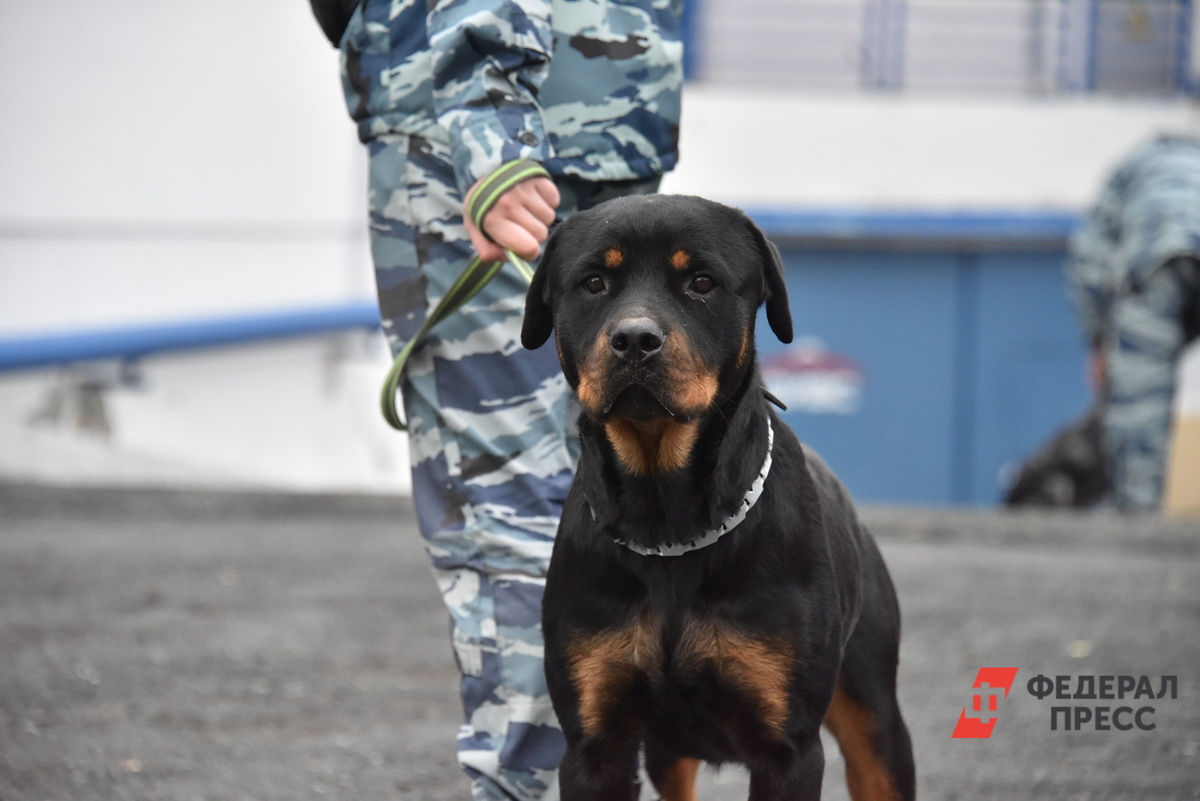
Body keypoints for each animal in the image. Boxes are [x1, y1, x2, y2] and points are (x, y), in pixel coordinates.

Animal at [520, 195, 912, 801]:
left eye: (702, 282)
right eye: (593, 282)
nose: (635, 339)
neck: (666, 521)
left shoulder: (788, 748)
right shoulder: (594, 744)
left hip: (875, 716)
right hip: (667, 754)